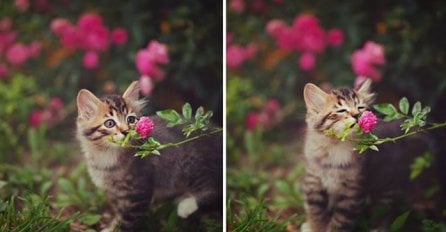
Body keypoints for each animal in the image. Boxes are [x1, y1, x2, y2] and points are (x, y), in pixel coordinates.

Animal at [77, 80, 223, 231]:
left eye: (131, 119)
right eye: (110, 123)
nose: (126, 131)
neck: (107, 155)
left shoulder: (137, 194)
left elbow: (126, 223)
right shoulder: (116, 195)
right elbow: (118, 214)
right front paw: (111, 226)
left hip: (191, 165)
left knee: (214, 188)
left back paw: (186, 205)